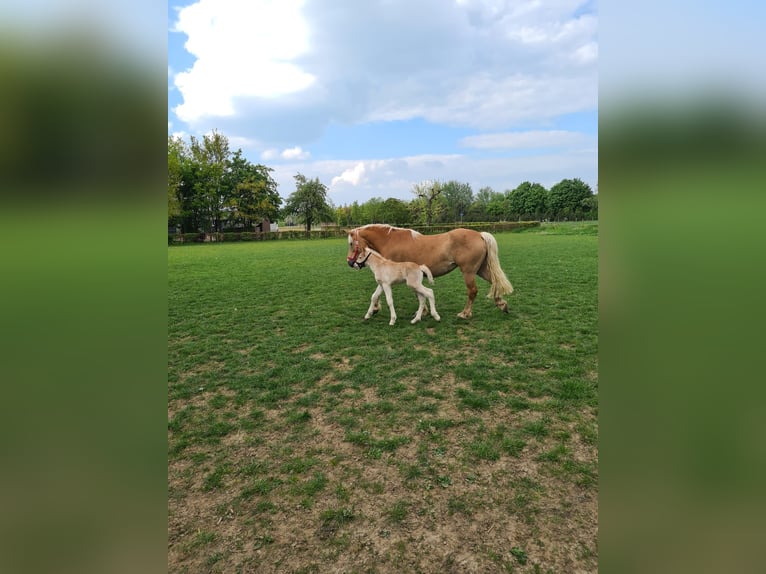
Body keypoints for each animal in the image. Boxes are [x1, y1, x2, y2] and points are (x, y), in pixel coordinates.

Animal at [346, 224, 513, 319]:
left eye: (351, 243)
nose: (349, 262)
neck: (390, 240)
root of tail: (479, 235)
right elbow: (377, 295)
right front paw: (374, 310)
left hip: (469, 272)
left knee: (472, 291)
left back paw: (465, 313)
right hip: (480, 270)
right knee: (495, 282)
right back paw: (502, 305)